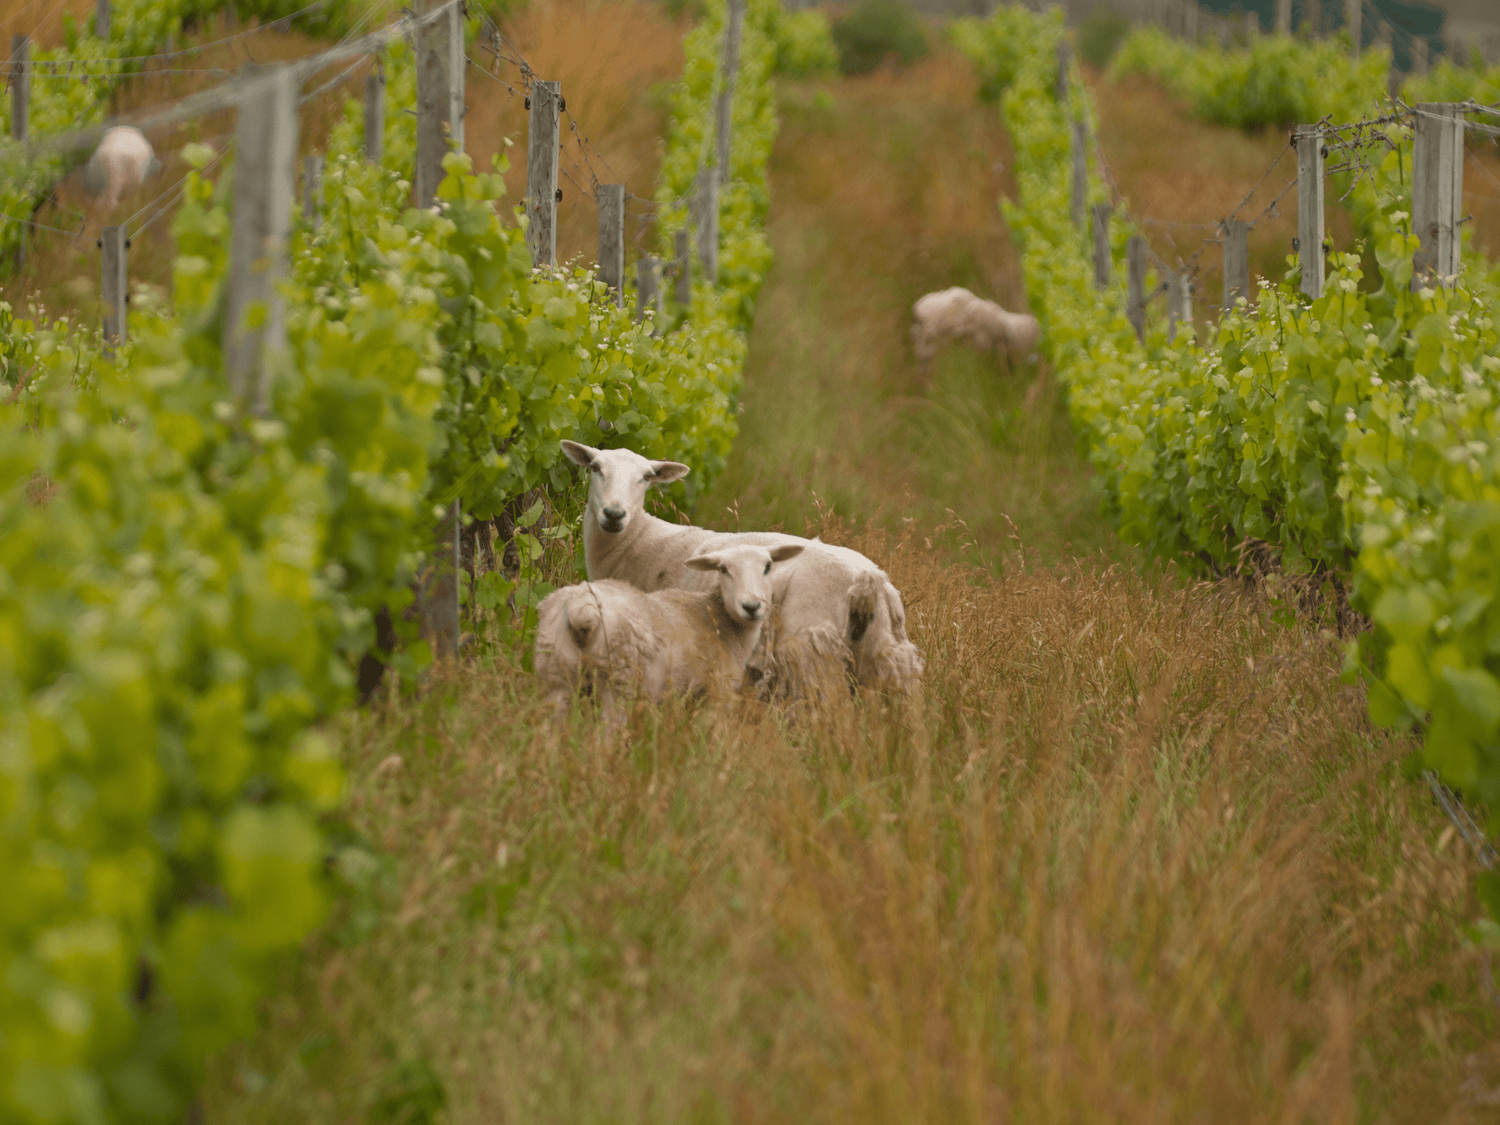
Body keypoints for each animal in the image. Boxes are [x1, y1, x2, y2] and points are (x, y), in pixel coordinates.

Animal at [534, 543, 804, 723]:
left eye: (768, 566)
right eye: (723, 569)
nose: (751, 606)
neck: (720, 620)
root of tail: (581, 608)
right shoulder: (719, 693)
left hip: (555, 673)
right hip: (620, 681)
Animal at [558, 438, 918, 696]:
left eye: (646, 477)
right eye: (595, 467)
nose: (614, 514)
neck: (636, 542)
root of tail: (870, 580)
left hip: (812, 653)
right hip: (886, 655)